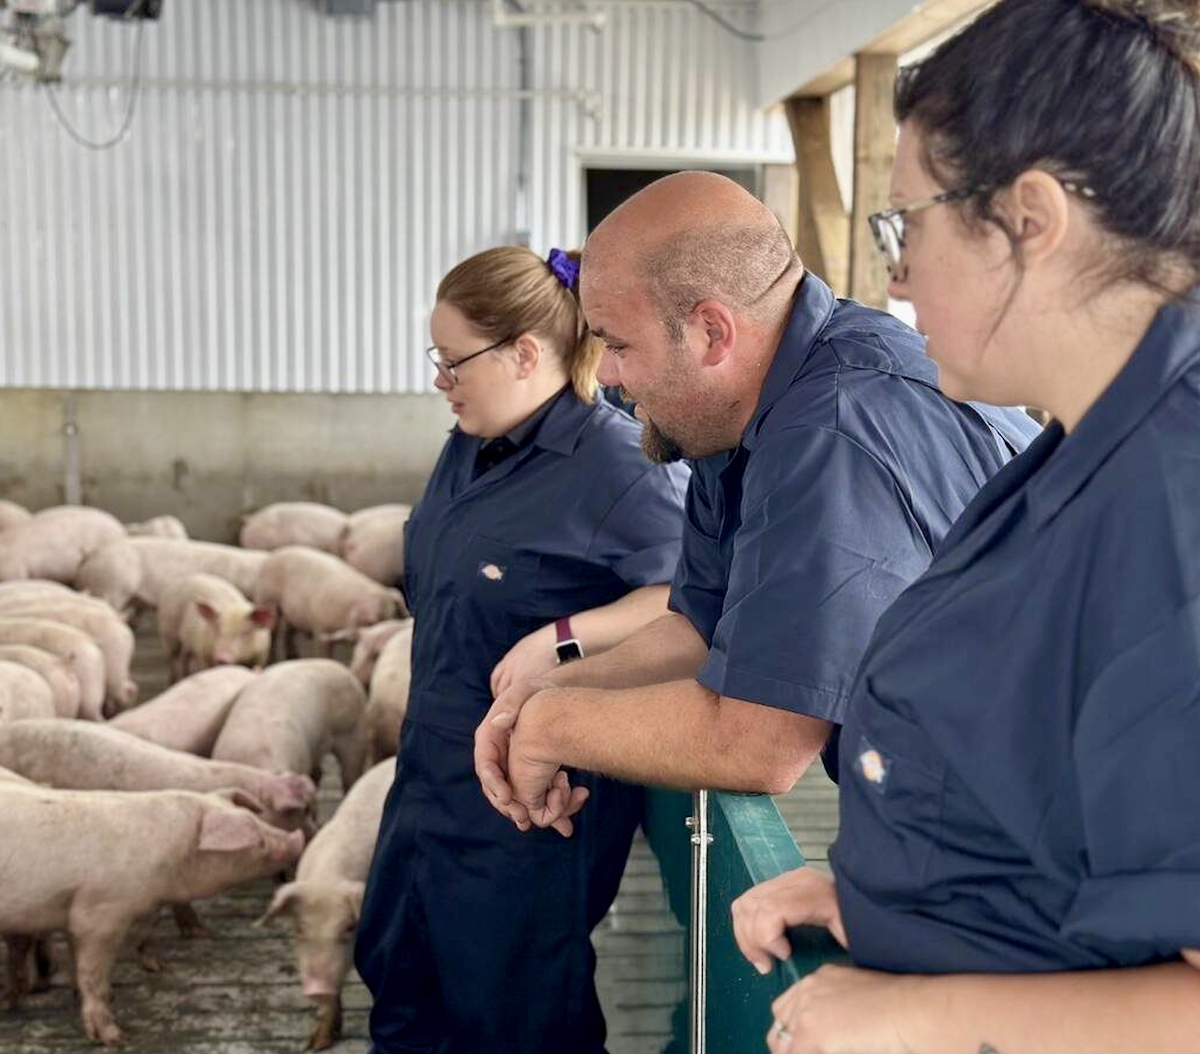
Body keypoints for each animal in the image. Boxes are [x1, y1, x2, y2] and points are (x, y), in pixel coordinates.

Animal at [0, 782, 304, 1045]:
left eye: (258, 819)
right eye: (257, 838)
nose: (298, 837)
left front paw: (158, 967)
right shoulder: (99, 913)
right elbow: (94, 974)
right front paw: (114, 1038)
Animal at [253, 546, 407, 659]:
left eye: (390, 616)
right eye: (372, 621)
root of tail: (274, 554)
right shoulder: (321, 628)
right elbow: (324, 653)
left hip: (291, 610)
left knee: (288, 629)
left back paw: (294, 656)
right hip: (266, 598)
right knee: (273, 632)